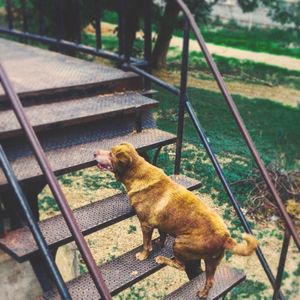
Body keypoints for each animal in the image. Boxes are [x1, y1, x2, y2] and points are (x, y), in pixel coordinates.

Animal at [94, 143, 258, 298]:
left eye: (111, 154)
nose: (94, 153)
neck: (138, 173)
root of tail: (225, 237)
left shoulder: (145, 225)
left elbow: (146, 244)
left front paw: (143, 255)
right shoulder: (161, 224)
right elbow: (162, 235)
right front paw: (159, 243)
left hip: (179, 244)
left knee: (181, 266)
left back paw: (161, 259)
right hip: (211, 262)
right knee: (210, 281)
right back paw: (203, 294)